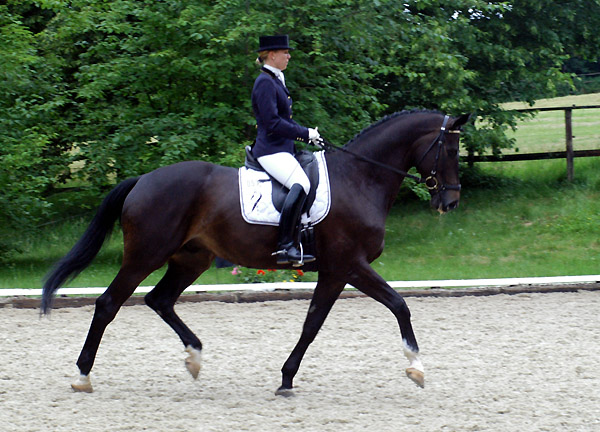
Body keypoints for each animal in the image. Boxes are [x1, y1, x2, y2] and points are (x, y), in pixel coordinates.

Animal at [42, 109, 472, 394]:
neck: (360, 178)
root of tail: (143, 180)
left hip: (191, 258)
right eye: (451, 150)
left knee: (159, 300)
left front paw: (286, 377)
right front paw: (416, 367)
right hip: (145, 255)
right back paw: (82, 376)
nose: (450, 203)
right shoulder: (350, 265)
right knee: (108, 304)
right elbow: (399, 305)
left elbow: (313, 323)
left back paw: (194, 358)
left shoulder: (335, 271)